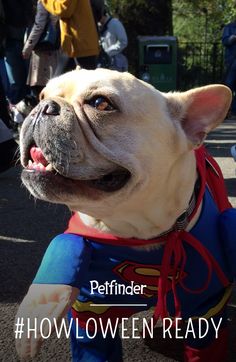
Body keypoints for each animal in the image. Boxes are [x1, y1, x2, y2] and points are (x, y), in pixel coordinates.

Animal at [16, 67, 236, 360]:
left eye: (101, 103)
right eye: (41, 95)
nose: (43, 106)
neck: (142, 231)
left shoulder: (206, 313)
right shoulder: (93, 314)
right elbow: (65, 246)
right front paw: (37, 309)